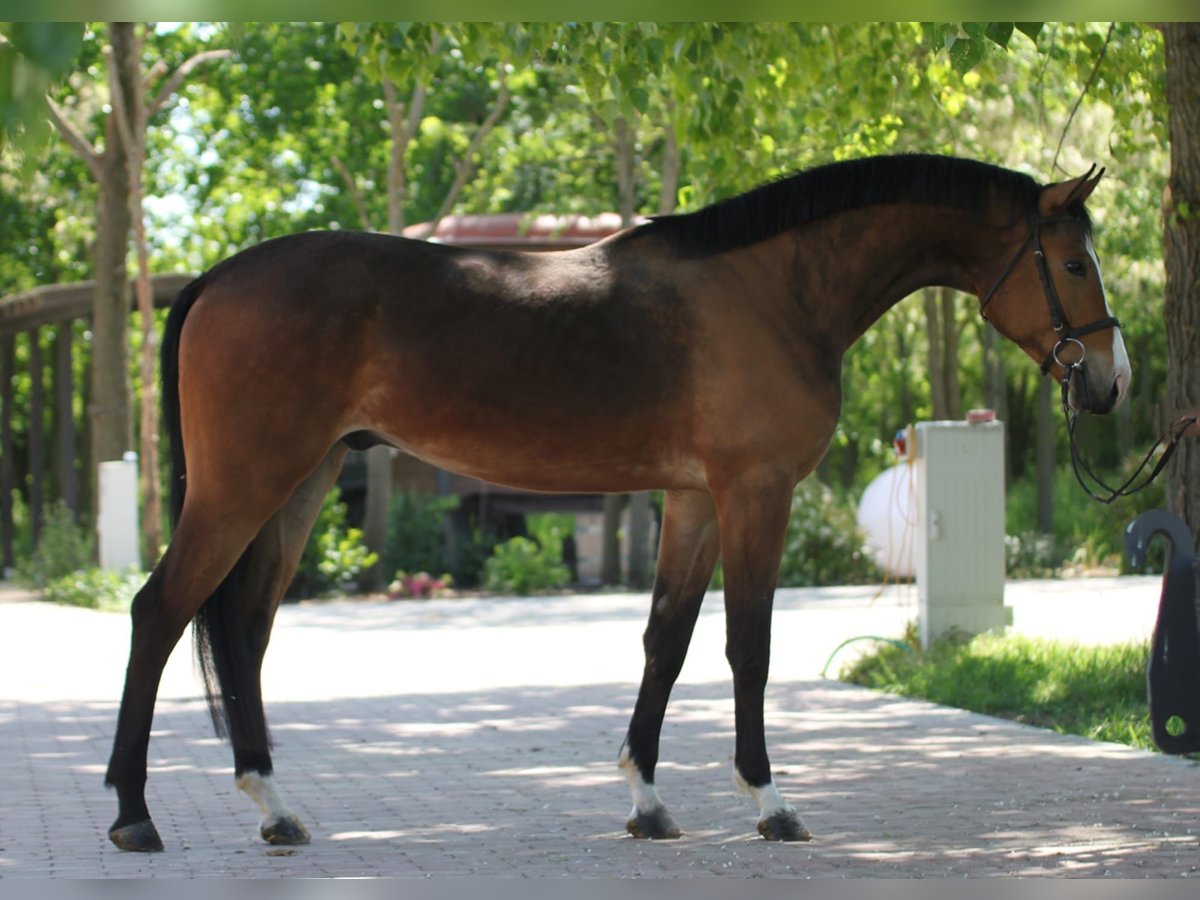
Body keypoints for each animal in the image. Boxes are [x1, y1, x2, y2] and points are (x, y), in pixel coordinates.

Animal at [108, 153, 1128, 854]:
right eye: (1076, 265)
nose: (1110, 382)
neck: (775, 290)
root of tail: (217, 278)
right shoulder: (752, 492)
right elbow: (748, 649)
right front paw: (771, 803)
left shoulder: (693, 499)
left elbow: (666, 643)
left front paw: (647, 801)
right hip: (247, 486)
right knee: (160, 611)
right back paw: (133, 813)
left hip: (300, 485)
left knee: (242, 630)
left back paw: (274, 809)